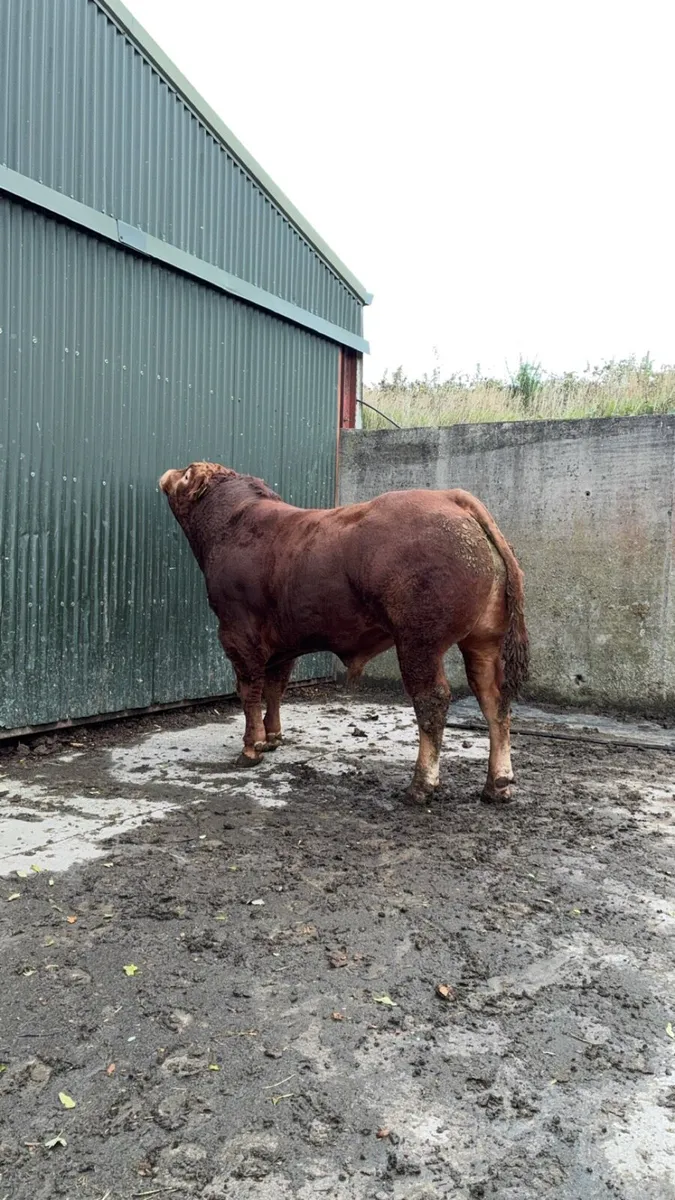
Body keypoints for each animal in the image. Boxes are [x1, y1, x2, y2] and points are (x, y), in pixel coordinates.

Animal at [159, 462, 529, 805]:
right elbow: (275, 687)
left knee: (432, 701)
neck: (235, 525)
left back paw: (421, 785)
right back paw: (497, 784)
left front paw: (251, 747)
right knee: (493, 698)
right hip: (484, 641)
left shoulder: (238, 633)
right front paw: (272, 737)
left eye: (187, 473)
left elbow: (249, 690)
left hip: (419, 643)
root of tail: (451, 497)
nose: (168, 473)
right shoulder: (282, 642)